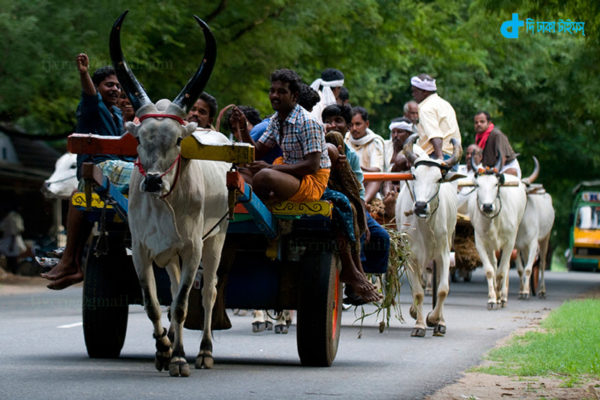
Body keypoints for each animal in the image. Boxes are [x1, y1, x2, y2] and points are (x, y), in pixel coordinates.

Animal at [109, 10, 229, 376]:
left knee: (208, 293)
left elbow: (181, 306)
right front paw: (164, 350)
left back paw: (203, 352)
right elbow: (153, 305)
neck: (163, 205)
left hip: (216, 239)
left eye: (177, 139)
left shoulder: (191, 248)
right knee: (176, 290)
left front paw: (178, 358)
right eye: (138, 138)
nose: (152, 183)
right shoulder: (142, 250)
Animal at [396, 135, 462, 338]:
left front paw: (435, 320)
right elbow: (417, 292)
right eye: (415, 176)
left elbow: (442, 289)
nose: (420, 206)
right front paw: (419, 325)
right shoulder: (410, 257)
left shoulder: (443, 254)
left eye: (439, 178)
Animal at [468, 154, 524, 310]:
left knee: (506, 267)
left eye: (495, 184)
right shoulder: (480, 243)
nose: (487, 206)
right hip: (491, 246)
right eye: (478, 185)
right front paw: (492, 298)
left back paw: (503, 296)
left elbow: (501, 272)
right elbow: (490, 270)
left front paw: (500, 296)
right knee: (493, 263)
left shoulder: (509, 243)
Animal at [512, 158, 556, 298]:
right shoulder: (515, 246)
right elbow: (521, 270)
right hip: (524, 248)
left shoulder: (533, 243)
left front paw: (526, 292)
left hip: (545, 238)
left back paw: (542, 290)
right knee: (527, 261)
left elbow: (528, 269)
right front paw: (523, 290)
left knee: (541, 264)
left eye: (525, 189)